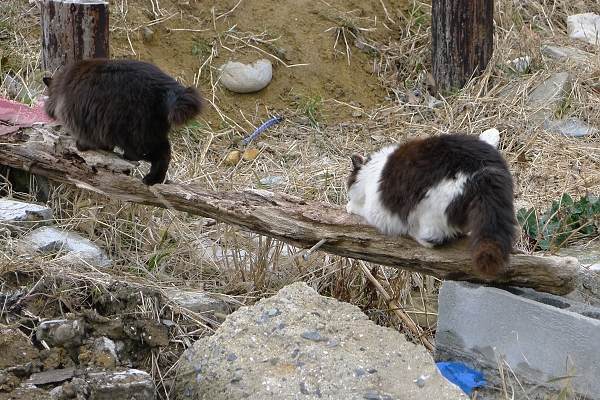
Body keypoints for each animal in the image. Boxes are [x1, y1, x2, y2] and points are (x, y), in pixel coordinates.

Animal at [43, 58, 204, 186]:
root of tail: (169, 86)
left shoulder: (84, 121)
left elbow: (87, 139)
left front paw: (82, 146)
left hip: (137, 136)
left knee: (156, 154)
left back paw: (150, 178)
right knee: (164, 152)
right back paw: (155, 179)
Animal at [346, 132, 516, 278]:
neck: (372, 170)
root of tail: (484, 170)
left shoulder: (377, 210)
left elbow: (362, 209)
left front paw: (349, 205)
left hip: (432, 208)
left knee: (432, 240)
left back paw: (414, 232)